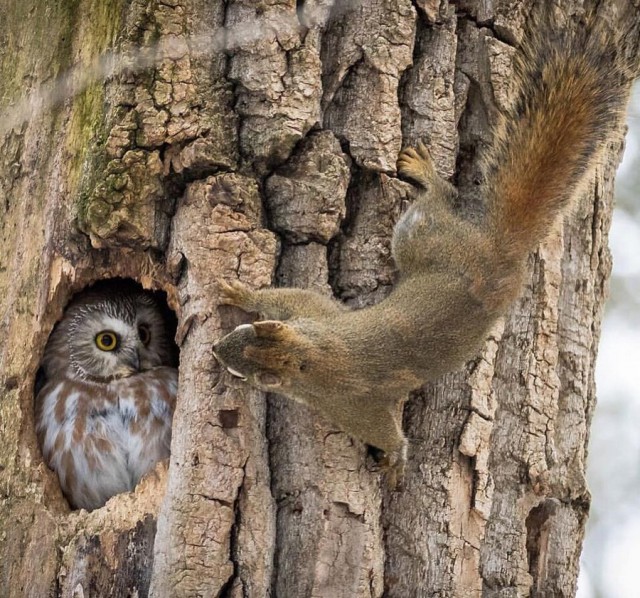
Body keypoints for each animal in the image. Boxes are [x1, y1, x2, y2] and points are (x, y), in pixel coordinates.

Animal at [211, 8, 636, 488]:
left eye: (243, 366)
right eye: (246, 333)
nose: (215, 350)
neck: (309, 356)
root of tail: (501, 253)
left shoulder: (346, 402)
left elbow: (383, 429)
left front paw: (395, 460)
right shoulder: (313, 318)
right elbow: (291, 298)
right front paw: (241, 292)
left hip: (419, 236)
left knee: (437, 200)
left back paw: (425, 173)